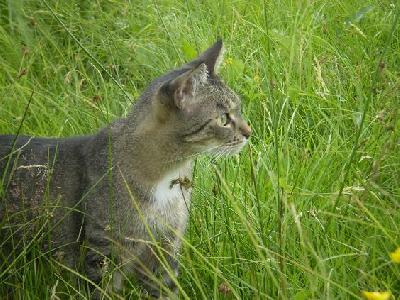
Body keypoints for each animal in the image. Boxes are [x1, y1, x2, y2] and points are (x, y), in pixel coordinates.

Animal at [0, 40, 250, 298]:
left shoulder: (165, 250)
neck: (167, 179)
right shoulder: (102, 252)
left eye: (239, 110)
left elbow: (167, 291)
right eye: (224, 119)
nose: (249, 132)